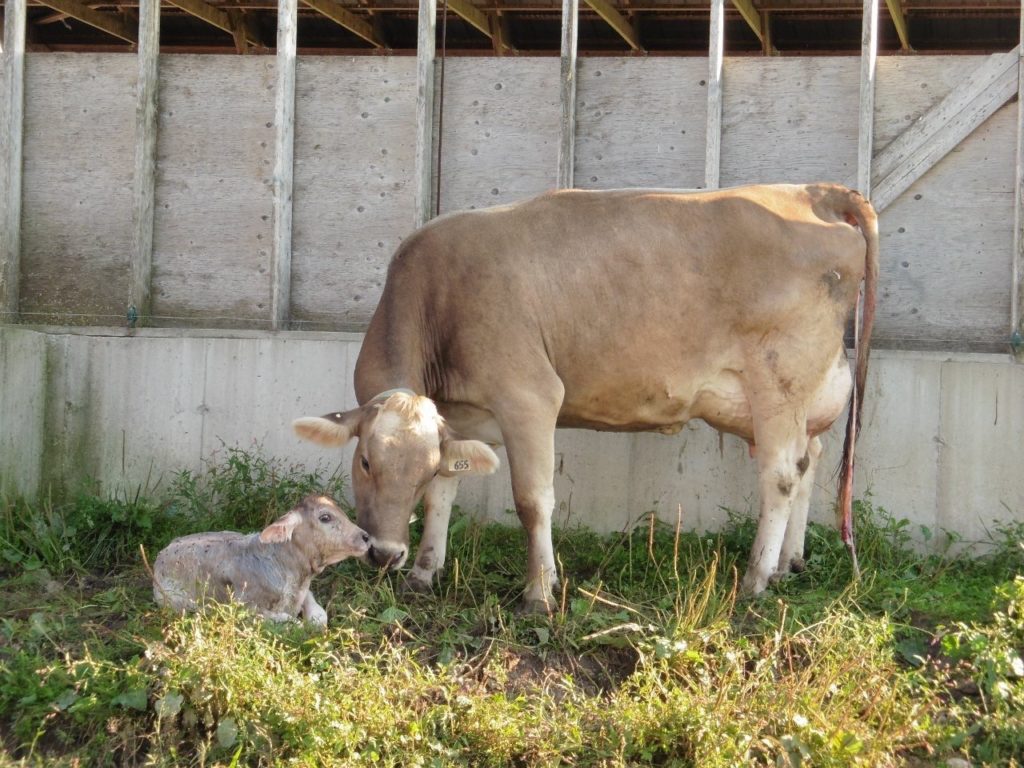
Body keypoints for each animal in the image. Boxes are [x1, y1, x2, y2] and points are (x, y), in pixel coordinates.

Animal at [153, 495, 370, 626]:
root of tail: (163, 552)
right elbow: (292, 622)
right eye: (325, 517)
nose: (366, 536)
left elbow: (319, 617)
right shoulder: (245, 607)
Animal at [292, 185, 876, 606]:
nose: (385, 553)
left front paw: (539, 592)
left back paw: (756, 579)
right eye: (366, 461)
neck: (436, 297)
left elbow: (533, 501)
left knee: (780, 476)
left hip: (779, 384)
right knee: (807, 460)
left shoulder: (529, 397)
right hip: (789, 397)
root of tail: (811, 192)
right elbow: (444, 495)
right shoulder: (458, 418)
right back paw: (789, 563)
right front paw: (424, 571)